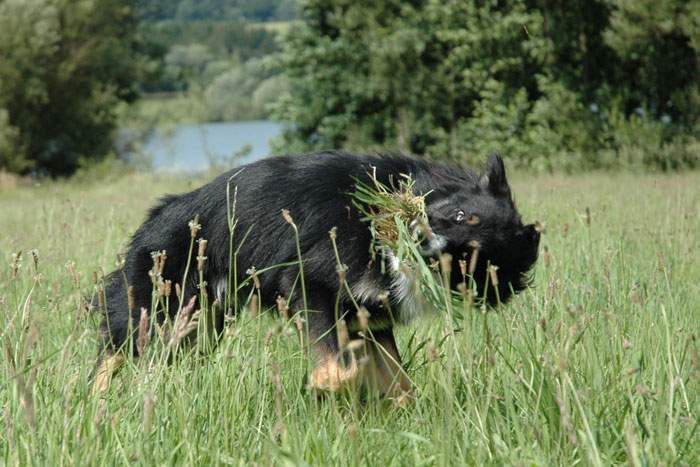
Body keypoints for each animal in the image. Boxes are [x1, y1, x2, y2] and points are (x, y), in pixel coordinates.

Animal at [91, 152, 540, 396]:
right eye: (462, 214)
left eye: (467, 259)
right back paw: (97, 400)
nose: (417, 238)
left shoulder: (369, 318)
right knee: (113, 352)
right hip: (160, 307)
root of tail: (157, 215)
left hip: (198, 321)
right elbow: (342, 369)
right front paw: (325, 390)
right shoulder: (311, 285)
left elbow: (399, 382)